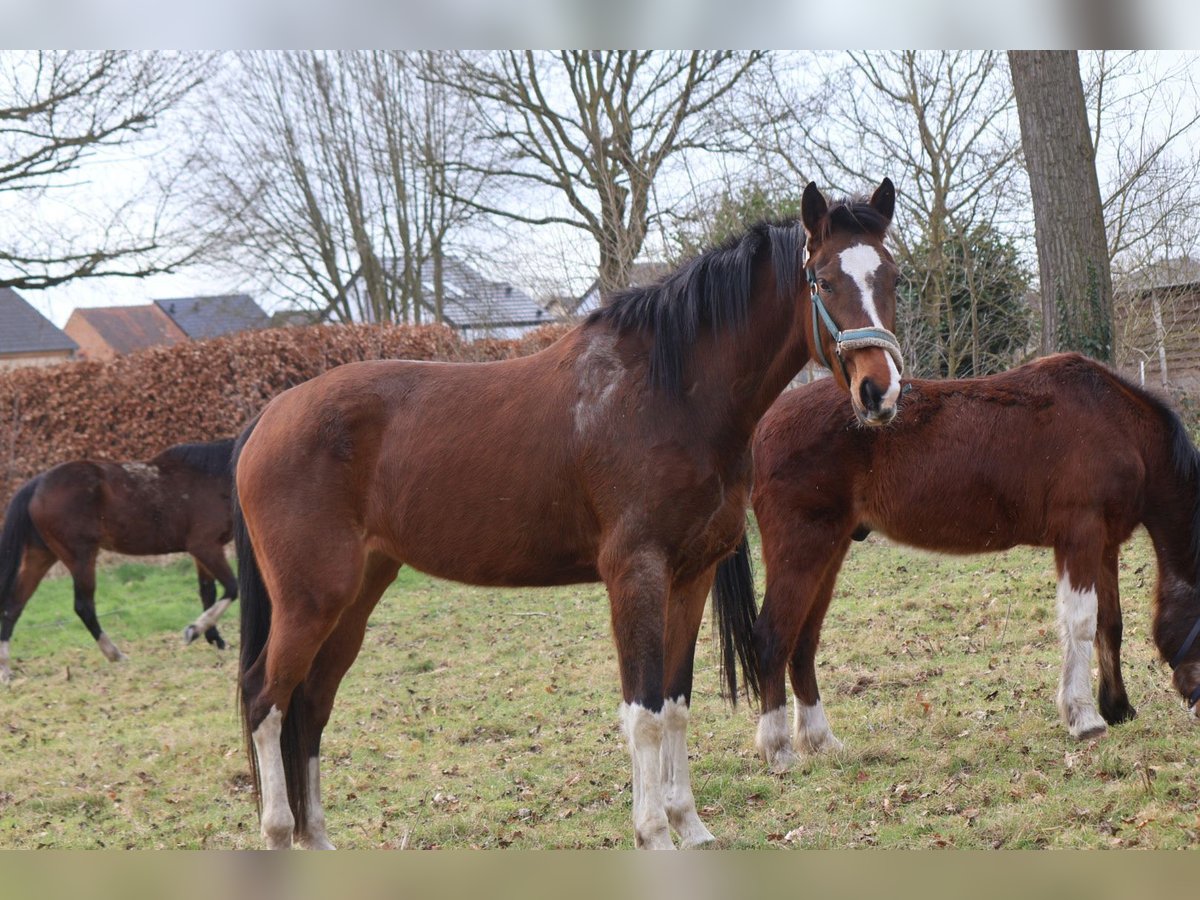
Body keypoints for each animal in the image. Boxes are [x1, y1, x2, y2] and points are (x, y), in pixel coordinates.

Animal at [0, 439, 236, 681]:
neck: (212, 476)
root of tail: (37, 485)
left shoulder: (202, 551)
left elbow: (208, 592)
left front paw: (215, 640)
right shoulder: (205, 546)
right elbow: (231, 588)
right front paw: (194, 631)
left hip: (41, 555)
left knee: (13, 605)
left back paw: (6, 669)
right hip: (81, 556)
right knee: (83, 606)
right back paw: (115, 654)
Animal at [226, 177, 902, 854]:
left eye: (892, 276)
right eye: (823, 281)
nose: (881, 391)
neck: (668, 392)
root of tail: (267, 418)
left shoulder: (692, 575)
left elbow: (676, 703)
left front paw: (690, 826)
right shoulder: (636, 573)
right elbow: (643, 712)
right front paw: (654, 834)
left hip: (358, 594)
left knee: (311, 704)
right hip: (311, 600)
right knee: (266, 699)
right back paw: (280, 833)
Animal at [734, 355, 1200, 777]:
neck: (1118, 426)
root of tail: (762, 425)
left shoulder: (1104, 545)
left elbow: (1110, 624)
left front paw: (1117, 708)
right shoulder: (1080, 536)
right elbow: (1082, 623)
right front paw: (1084, 718)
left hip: (828, 553)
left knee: (803, 643)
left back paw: (821, 741)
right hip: (803, 549)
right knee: (772, 638)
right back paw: (778, 751)